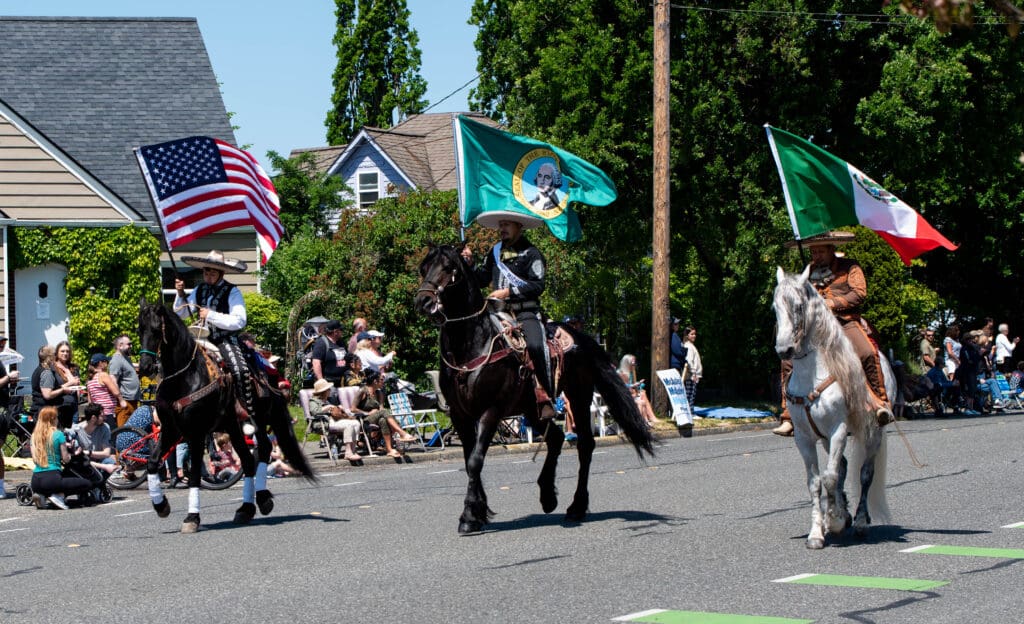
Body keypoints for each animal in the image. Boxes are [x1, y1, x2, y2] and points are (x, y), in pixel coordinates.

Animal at [138, 301, 311, 528]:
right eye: (139, 330)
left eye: (157, 330)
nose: (145, 367)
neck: (185, 377)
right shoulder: (172, 430)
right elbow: (152, 462)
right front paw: (161, 505)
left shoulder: (196, 433)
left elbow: (194, 474)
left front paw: (192, 517)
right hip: (233, 427)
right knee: (248, 460)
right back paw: (246, 508)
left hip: (257, 420)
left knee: (263, 449)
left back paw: (262, 499)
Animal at [411, 240, 651, 532]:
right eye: (423, 267)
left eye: (449, 267)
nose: (423, 301)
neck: (471, 346)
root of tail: (582, 337)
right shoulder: (460, 414)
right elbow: (469, 461)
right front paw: (479, 512)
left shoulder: (490, 411)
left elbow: (476, 460)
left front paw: (469, 516)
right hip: (533, 408)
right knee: (556, 439)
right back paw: (547, 496)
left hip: (578, 396)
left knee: (585, 445)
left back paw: (576, 506)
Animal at [770, 264, 892, 549]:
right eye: (774, 307)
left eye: (799, 306)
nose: (784, 349)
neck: (812, 374)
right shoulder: (805, 437)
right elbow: (816, 482)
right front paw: (818, 531)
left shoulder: (838, 430)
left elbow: (830, 477)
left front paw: (834, 520)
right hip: (826, 439)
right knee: (844, 466)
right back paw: (844, 514)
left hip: (873, 432)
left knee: (865, 473)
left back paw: (859, 521)